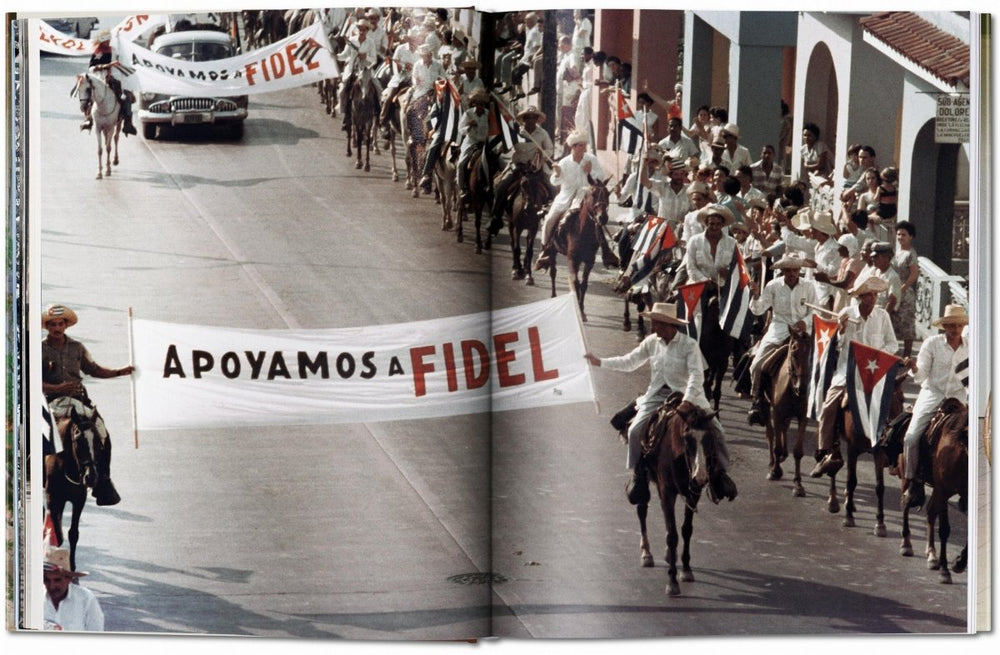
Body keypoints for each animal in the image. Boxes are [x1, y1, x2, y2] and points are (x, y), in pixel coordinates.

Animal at [43, 408, 100, 572]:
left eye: (97, 441)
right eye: (78, 440)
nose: (91, 476)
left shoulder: (79, 499)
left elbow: (73, 533)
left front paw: (72, 565)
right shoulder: (52, 497)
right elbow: (58, 535)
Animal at [552, 177, 612, 322]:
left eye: (608, 194)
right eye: (593, 194)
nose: (603, 217)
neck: (582, 231)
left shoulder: (589, 261)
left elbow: (583, 284)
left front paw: (582, 310)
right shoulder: (572, 259)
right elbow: (576, 282)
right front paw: (578, 310)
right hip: (551, 250)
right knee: (553, 272)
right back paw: (553, 296)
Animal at [632, 400, 728, 596]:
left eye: (709, 439)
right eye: (687, 439)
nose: (701, 477)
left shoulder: (693, 493)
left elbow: (686, 530)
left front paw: (686, 570)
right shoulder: (667, 492)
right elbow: (673, 535)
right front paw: (672, 581)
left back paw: (670, 554)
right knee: (642, 510)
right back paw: (646, 553)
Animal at [760, 336, 816, 494]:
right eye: (794, 353)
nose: (802, 387)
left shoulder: (803, 417)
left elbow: (797, 451)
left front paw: (798, 484)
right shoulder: (777, 412)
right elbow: (776, 444)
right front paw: (775, 471)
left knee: (783, 429)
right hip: (767, 406)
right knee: (770, 433)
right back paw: (773, 463)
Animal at [900, 398, 968, 580]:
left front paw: (959, 562)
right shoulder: (944, 490)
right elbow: (944, 529)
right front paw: (945, 570)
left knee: (930, 511)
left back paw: (932, 554)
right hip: (907, 476)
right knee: (906, 502)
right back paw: (906, 544)